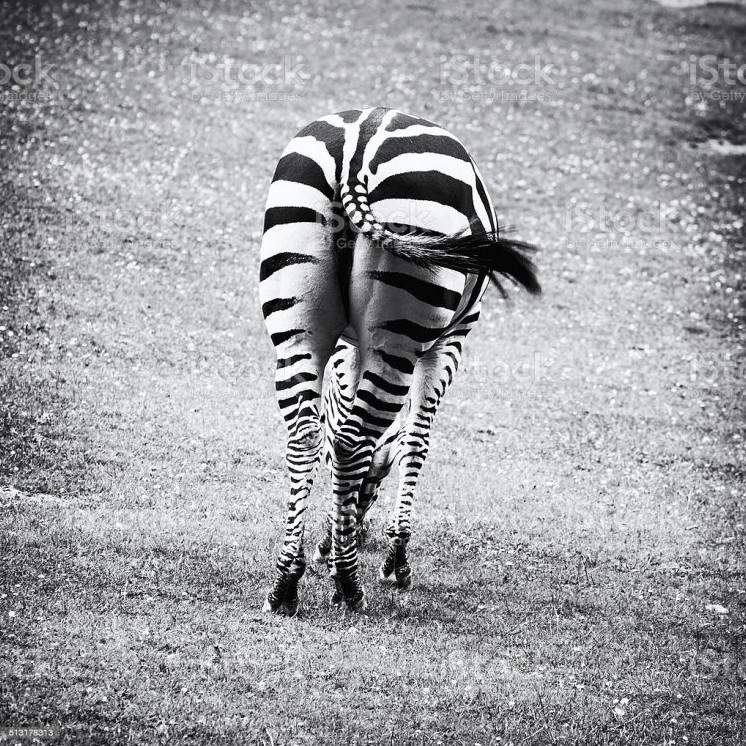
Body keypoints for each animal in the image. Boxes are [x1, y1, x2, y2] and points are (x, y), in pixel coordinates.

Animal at [260, 107, 540, 614]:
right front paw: (395, 560)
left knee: (308, 436)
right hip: (403, 338)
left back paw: (286, 582)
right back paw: (349, 586)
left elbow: (336, 428)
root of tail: (358, 148)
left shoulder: (352, 351)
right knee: (353, 442)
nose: (337, 540)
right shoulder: (449, 344)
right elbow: (416, 441)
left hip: (296, 325)